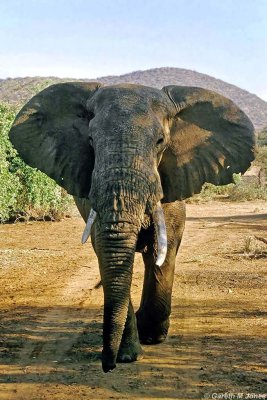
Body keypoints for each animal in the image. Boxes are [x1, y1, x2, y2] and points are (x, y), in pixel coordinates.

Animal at [8, 81, 255, 372]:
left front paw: (152, 336)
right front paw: (128, 355)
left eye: (160, 142)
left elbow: (163, 251)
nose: (107, 366)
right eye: (90, 141)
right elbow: (107, 255)